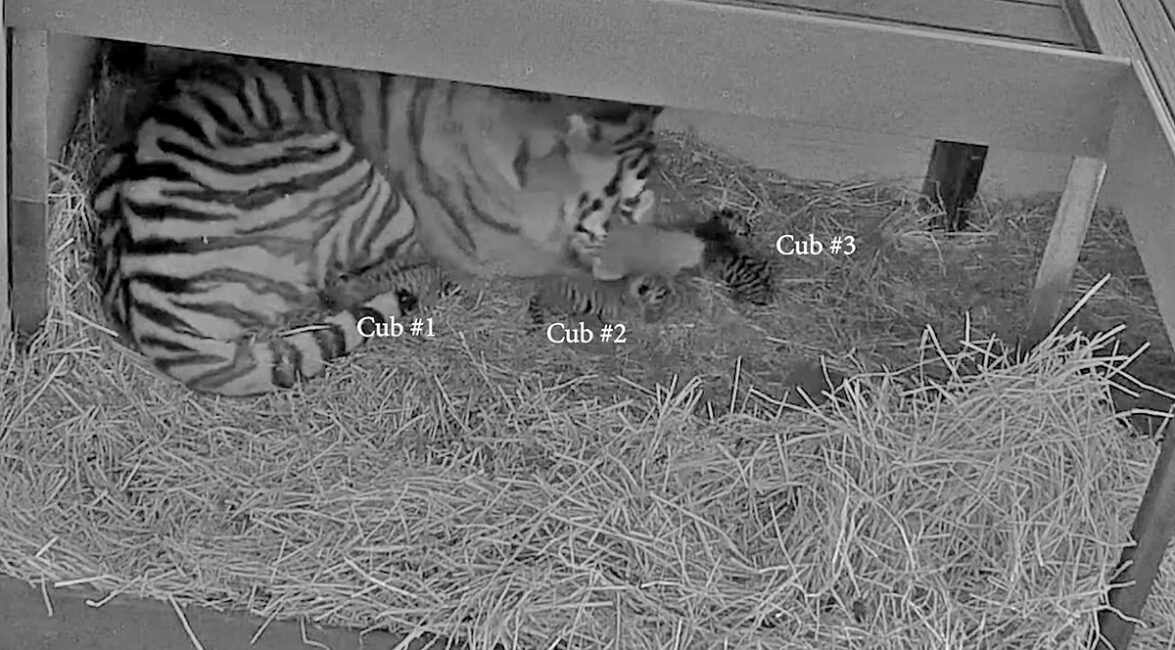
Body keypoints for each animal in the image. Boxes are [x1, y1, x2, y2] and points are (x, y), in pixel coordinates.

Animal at [91, 49, 666, 397]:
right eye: (629, 201)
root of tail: (148, 313)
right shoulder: (491, 251)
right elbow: (565, 270)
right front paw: (632, 290)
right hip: (349, 175)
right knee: (362, 283)